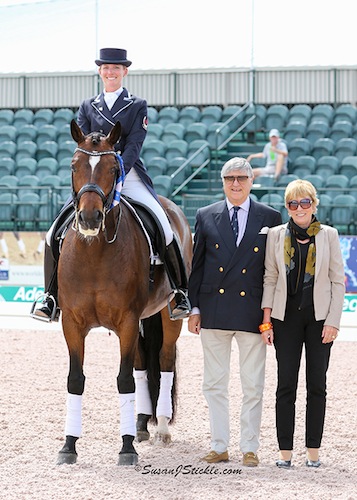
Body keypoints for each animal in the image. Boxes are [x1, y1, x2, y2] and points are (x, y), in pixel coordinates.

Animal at [56, 121, 192, 464]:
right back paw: (142, 425)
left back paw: (161, 429)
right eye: (74, 165)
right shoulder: (72, 324)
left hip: (167, 315)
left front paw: (127, 448)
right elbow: (76, 380)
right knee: (144, 364)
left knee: (164, 361)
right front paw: (68, 446)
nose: (90, 219)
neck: (94, 252)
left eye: (112, 168)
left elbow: (124, 379)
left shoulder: (127, 321)